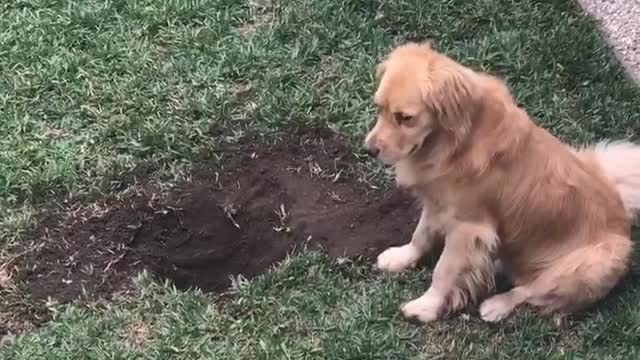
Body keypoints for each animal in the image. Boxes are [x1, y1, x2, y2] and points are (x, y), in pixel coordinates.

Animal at [364, 40, 640, 322]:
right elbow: (421, 234)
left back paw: (497, 305)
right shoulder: (438, 201)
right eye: (379, 108)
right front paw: (401, 257)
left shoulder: (468, 228)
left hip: (588, 265)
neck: (456, 142)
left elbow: (444, 271)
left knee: (530, 290)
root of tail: (623, 218)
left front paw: (427, 306)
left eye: (405, 118)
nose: (369, 149)